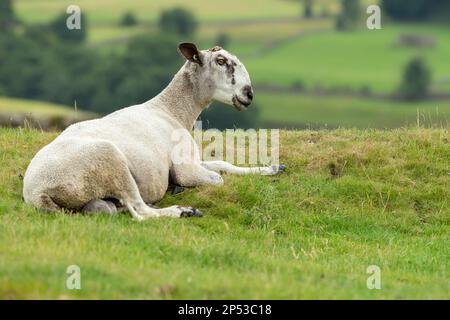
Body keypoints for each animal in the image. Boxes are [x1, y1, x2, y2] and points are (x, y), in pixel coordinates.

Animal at [22, 43, 284, 220]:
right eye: (220, 61)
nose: (249, 94)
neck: (172, 111)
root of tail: (36, 192)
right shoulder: (185, 168)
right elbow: (217, 178)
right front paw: (180, 189)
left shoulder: (192, 159)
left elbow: (224, 164)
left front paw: (270, 169)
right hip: (109, 160)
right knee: (140, 211)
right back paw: (183, 211)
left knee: (114, 207)